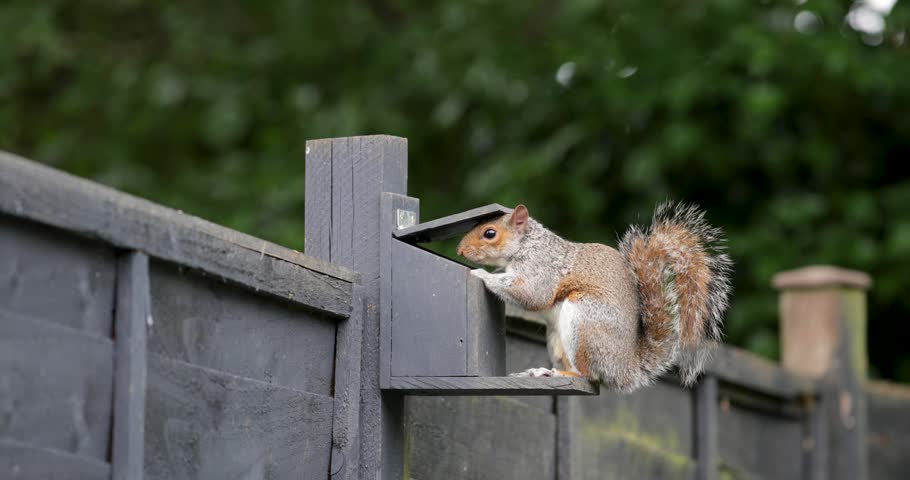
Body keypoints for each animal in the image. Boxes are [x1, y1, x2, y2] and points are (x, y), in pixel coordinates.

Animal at [456, 202, 732, 392]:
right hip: (557, 338)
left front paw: (482, 274)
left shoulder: (542, 268)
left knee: (588, 376)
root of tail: (625, 368)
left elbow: (532, 295)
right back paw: (544, 372)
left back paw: (562, 375)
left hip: (585, 321)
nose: (459, 250)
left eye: (489, 233)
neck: (527, 244)